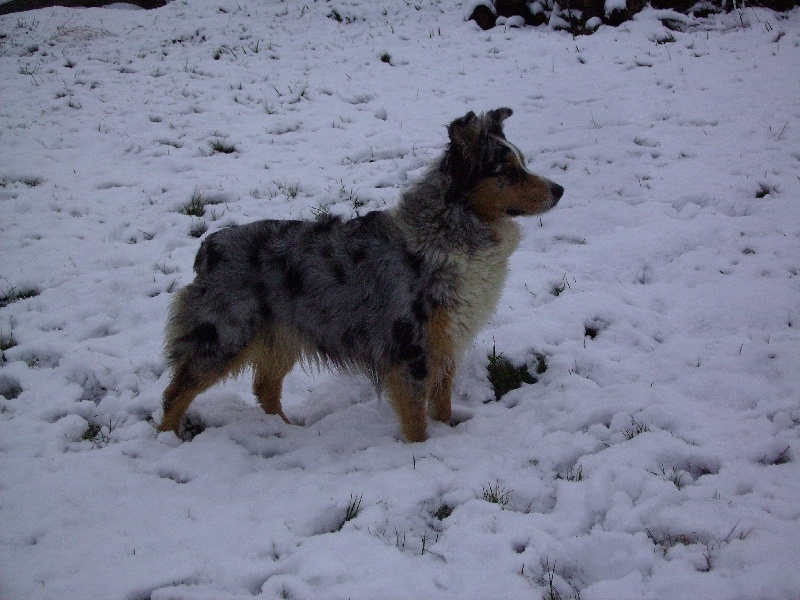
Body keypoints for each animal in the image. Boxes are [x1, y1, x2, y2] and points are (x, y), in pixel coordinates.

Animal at [158, 108, 564, 440]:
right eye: (507, 171)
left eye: (521, 163)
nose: (560, 190)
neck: (450, 230)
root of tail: (210, 248)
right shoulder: (410, 347)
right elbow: (417, 420)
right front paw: (424, 451)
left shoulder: (445, 343)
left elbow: (442, 407)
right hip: (224, 335)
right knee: (176, 392)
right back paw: (167, 440)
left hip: (283, 334)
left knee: (265, 386)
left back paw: (286, 432)